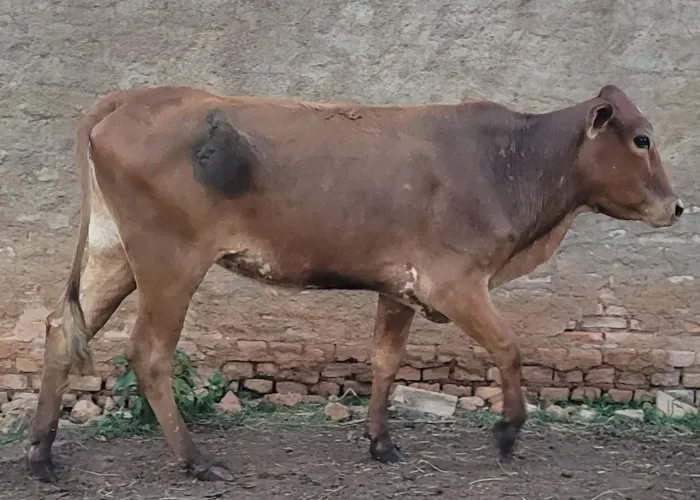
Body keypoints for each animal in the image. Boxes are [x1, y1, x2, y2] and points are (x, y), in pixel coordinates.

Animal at [27, 84, 683, 483]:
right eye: (642, 138)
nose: (677, 207)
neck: (511, 162)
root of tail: (134, 97)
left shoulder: (400, 287)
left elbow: (385, 361)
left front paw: (381, 442)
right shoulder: (454, 281)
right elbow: (509, 346)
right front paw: (505, 433)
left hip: (113, 255)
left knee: (62, 328)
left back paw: (40, 455)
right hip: (170, 263)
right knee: (150, 353)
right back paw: (196, 460)